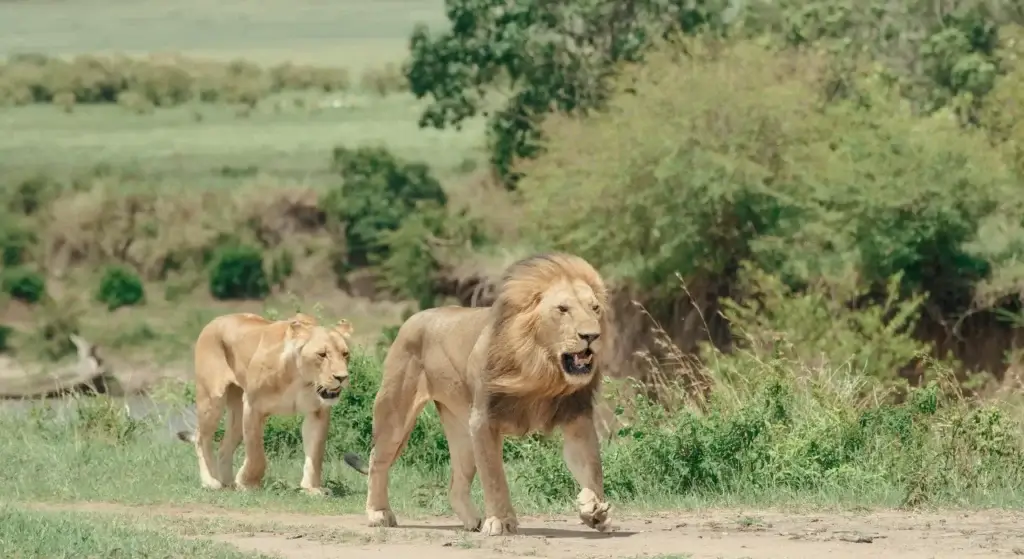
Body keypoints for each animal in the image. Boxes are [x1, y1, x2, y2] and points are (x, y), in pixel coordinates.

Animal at [176, 312, 354, 495]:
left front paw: (312, 488)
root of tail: (214, 320)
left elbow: (316, 453)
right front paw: (248, 483)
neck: (300, 378)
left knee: (224, 447)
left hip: (237, 413)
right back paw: (211, 482)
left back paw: (229, 484)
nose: (342, 377)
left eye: (345, 354)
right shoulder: (253, 406)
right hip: (212, 399)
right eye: (322, 354)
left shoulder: (318, 411)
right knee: (201, 437)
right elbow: (256, 454)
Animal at [343, 253, 612, 536]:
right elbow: (494, 477)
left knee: (455, 484)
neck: (542, 369)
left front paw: (595, 509)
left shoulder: (577, 418)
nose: (592, 335)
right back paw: (379, 513)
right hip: (396, 413)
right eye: (562, 309)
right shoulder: (484, 420)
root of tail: (413, 318)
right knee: (377, 461)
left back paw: (473, 521)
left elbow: (592, 467)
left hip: (463, 433)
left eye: (595, 308)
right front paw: (501, 521)